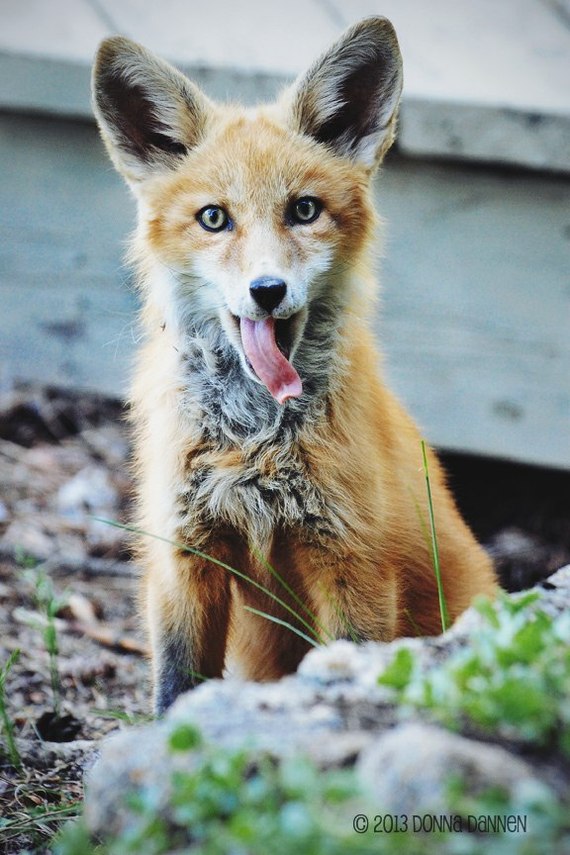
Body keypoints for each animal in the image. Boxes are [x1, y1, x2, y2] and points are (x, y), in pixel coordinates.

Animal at [91, 18, 494, 716]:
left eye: (303, 210)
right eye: (214, 218)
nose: (267, 290)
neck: (254, 444)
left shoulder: (352, 563)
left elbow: (349, 659)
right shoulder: (184, 555)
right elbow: (175, 688)